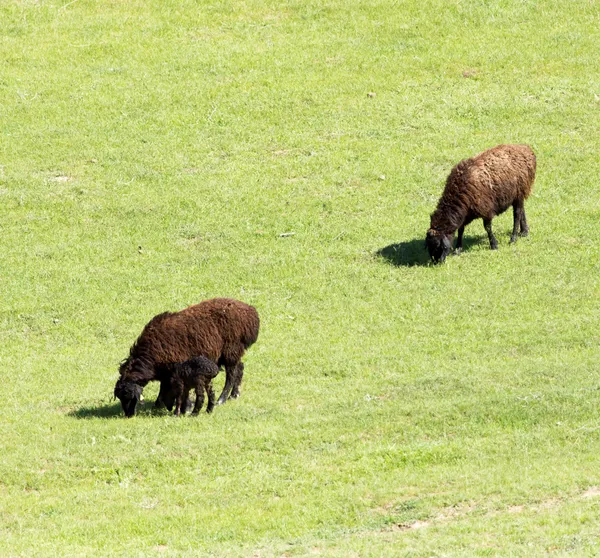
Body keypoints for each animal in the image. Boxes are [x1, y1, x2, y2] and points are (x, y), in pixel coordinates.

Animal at [113, 300, 258, 418]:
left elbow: (180, 389)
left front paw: (185, 407)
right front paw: (159, 403)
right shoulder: (167, 372)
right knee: (240, 368)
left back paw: (221, 399)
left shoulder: (178, 368)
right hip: (233, 352)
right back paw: (234, 395)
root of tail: (251, 311)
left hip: (231, 349)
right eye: (119, 397)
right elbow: (164, 386)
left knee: (231, 376)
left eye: (128, 396)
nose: (128, 415)